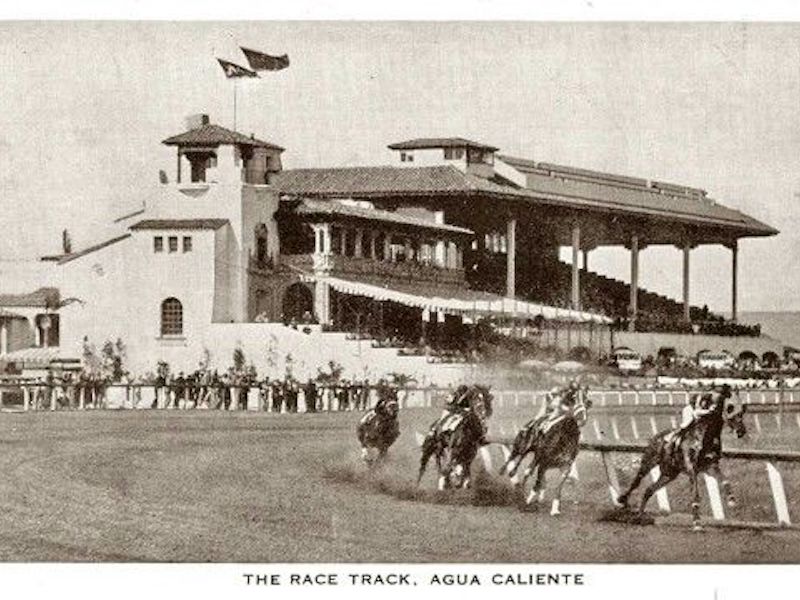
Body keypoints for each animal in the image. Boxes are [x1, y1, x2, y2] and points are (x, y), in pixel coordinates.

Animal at [616, 390, 748, 528]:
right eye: (730, 408)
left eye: (742, 411)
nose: (741, 431)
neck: (705, 437)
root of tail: (655, 437)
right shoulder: (691, 468)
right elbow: (695, 493)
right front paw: (696, 522)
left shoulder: (710, 465)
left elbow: (725, 481)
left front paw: (731, 500)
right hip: (648, 463)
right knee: (636, 482)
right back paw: (622, 500)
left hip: (669, 473)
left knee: (649, 490)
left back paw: (639, 516)